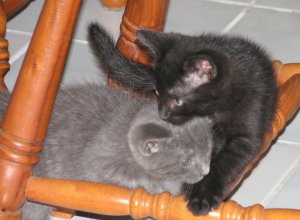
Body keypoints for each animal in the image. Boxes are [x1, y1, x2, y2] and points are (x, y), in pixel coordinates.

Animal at [0, 83, 213, 219]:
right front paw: (158, 185)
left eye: (208, 151)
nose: (206, 172)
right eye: (186, 160)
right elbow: (128, 174)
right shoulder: (99, 158)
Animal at [88, 23, 278, 216]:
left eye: (177, 100)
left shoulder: (246, 132)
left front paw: (202, 195)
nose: (162, 114)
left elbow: (224, 162)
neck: (217, 108)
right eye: (157, 92)